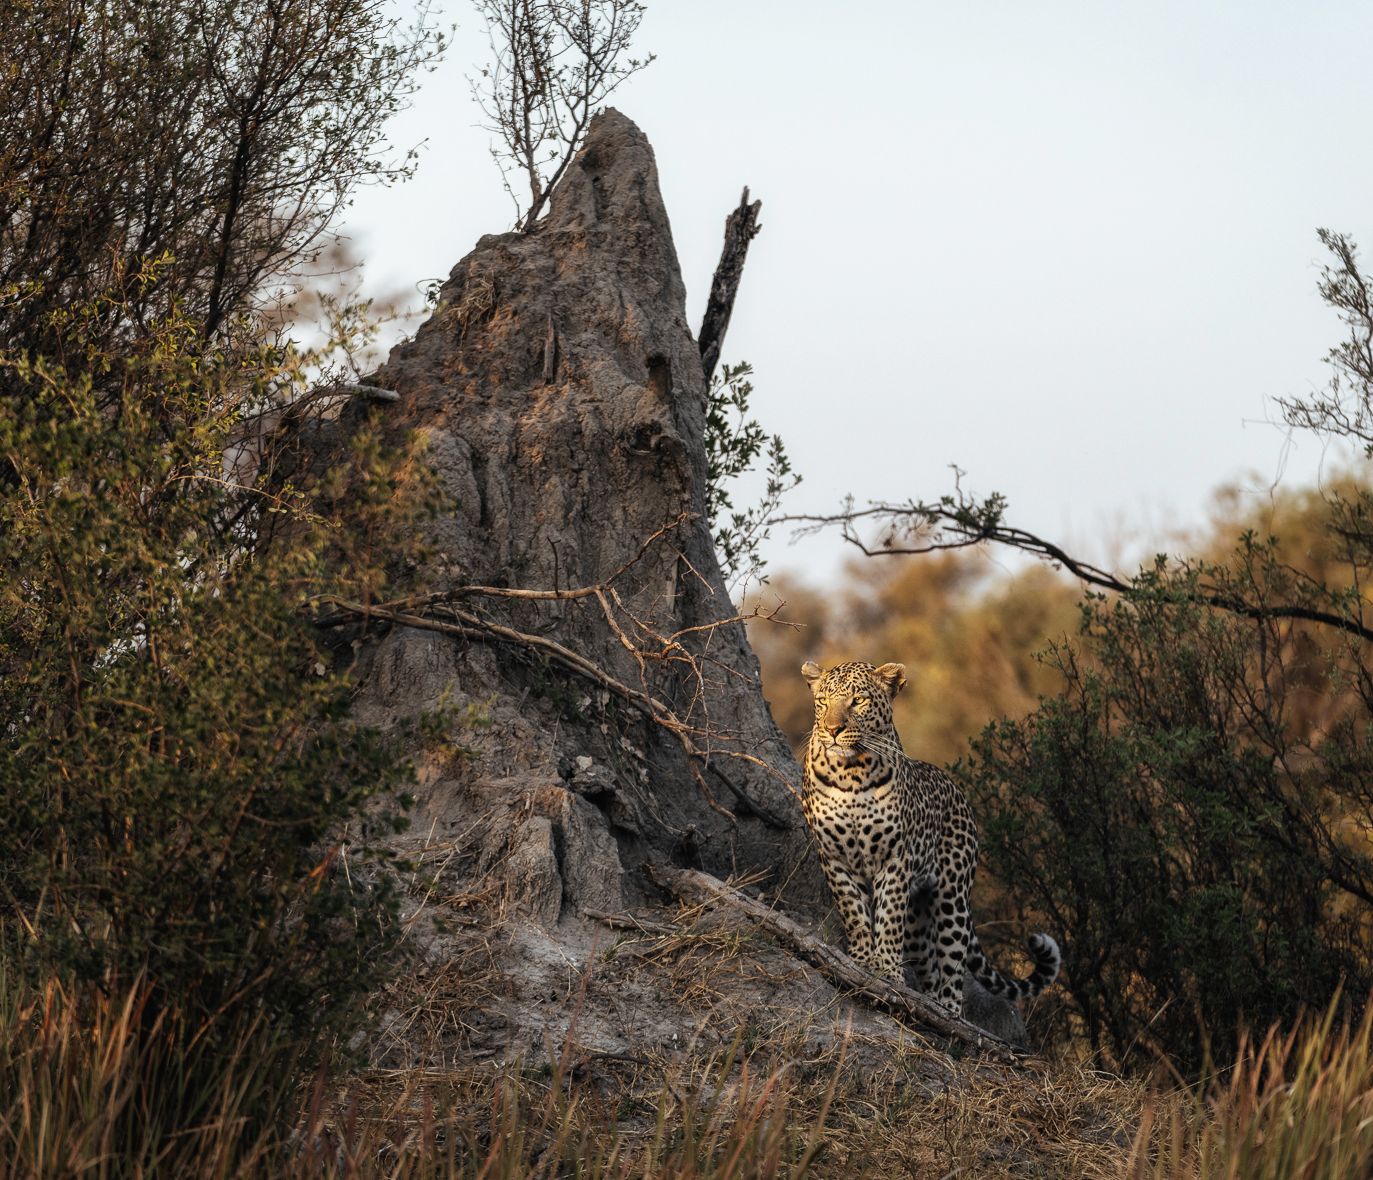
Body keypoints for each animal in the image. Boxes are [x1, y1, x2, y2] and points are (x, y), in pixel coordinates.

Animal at [800, 659, 1061, 1018]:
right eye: (823, 702)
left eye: (858, 701)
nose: (833, 730)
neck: (850, 774)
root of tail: (957, 790)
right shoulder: (833, 857)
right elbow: (853, 912)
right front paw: (862, 960)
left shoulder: (895, 858)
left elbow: (889, 919)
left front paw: (888, 971)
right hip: (917, 921)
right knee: (932, 971)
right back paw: (930, 1002)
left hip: (953, 898)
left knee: (952, 970)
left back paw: (949, 1013)